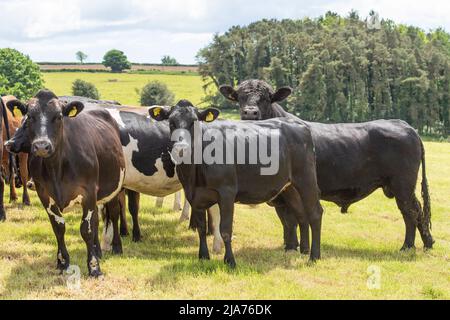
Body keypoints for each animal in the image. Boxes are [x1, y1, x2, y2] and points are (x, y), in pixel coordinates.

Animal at [6, 89, 126, 276]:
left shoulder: (88, 192)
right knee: (97, 219)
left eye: (59, 117)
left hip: (115, 188)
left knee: (113, 214)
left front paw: (94, 267)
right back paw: (98, 251)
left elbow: (86, 229)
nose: (42, 146)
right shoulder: (44, 194)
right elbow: (59, 227)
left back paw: (116, 247)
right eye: (30, 117)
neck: (57, 167)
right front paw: (63, 262)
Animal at [149, 100, 324, 264]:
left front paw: (230, 261)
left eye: (194, 122)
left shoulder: (227, 192)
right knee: (301, 214)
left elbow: (225, 229)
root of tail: (299, 124)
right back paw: (304, 251)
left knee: (315, 212)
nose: (181, 149)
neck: (194, 173)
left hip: (306, 178)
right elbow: (201, 228)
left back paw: (314, 256)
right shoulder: (194, 195)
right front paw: (203, 256)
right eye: (171, 122)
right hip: (290, 187)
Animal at [220, 79, 434, 252]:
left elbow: (294, 219)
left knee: (410, 211)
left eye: (266, 98)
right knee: (417, 210)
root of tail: (405, 125)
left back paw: (407, 246)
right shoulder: (279, 196)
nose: (250, 113)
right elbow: (286, 221)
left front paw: (296, 248)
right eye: (240, 97)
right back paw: (427, 243)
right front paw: (289, 246)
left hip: (402, 184)